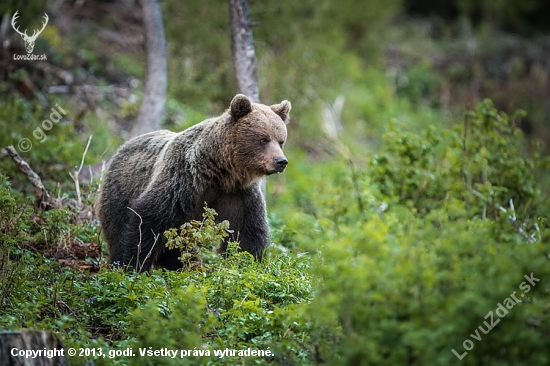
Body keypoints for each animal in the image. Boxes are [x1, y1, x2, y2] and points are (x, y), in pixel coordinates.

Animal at [96, 94, 292, 272]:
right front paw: (134, 265)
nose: (281, 161)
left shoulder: (238, 194)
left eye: (281, 140)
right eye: (263, 139)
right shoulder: (183, 180)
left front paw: (249, 263)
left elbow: (246, 232)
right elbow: (149, 219)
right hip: (120, 191)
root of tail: (123, 146)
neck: (221, 172)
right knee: (118, 229)